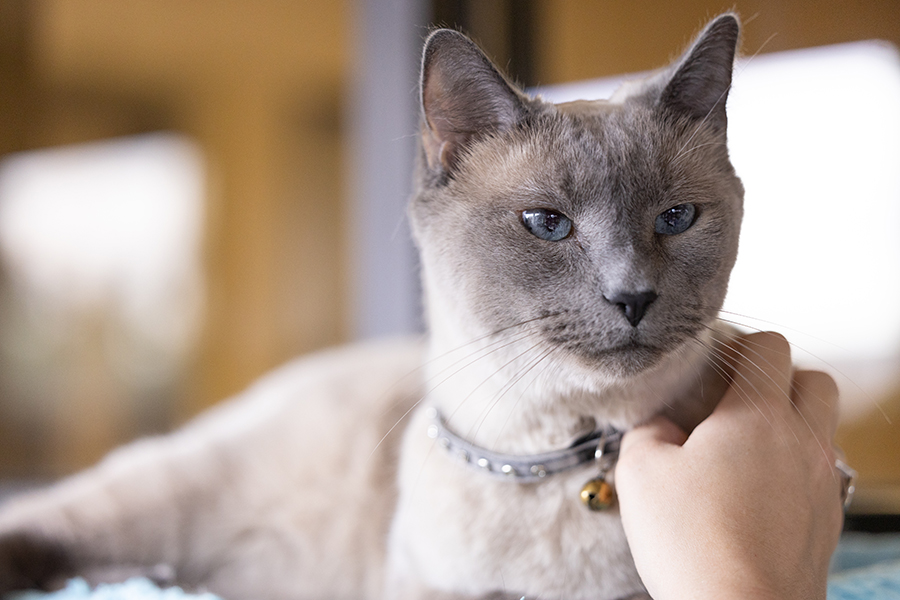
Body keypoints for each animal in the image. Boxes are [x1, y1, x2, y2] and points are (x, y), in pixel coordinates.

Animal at [0, 12, 744, 600]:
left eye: (676, 218)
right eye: (547, 224)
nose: (632, 295)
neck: (559, 455)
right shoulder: (427, 590)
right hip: (170, 496)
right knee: (51, 518)